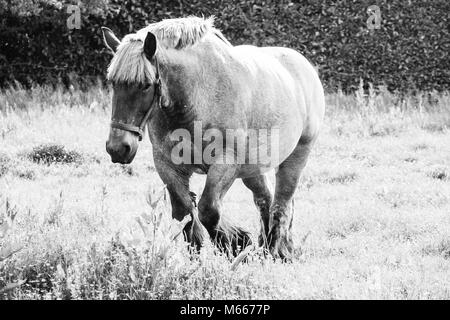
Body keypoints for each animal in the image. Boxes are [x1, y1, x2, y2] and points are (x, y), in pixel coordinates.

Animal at [101, 16, 324, 258]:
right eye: (113, 82)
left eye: (145, 85)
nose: (117, 148)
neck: (197, 97)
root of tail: (304, 66)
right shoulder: (166, 164)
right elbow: (185, 212)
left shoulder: (225, 163)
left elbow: (208, 211)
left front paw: (235, 245)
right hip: (253, 169)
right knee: (265, 199)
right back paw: (268, 247)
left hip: (296, 157)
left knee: (281, 204)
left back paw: (276, 252)